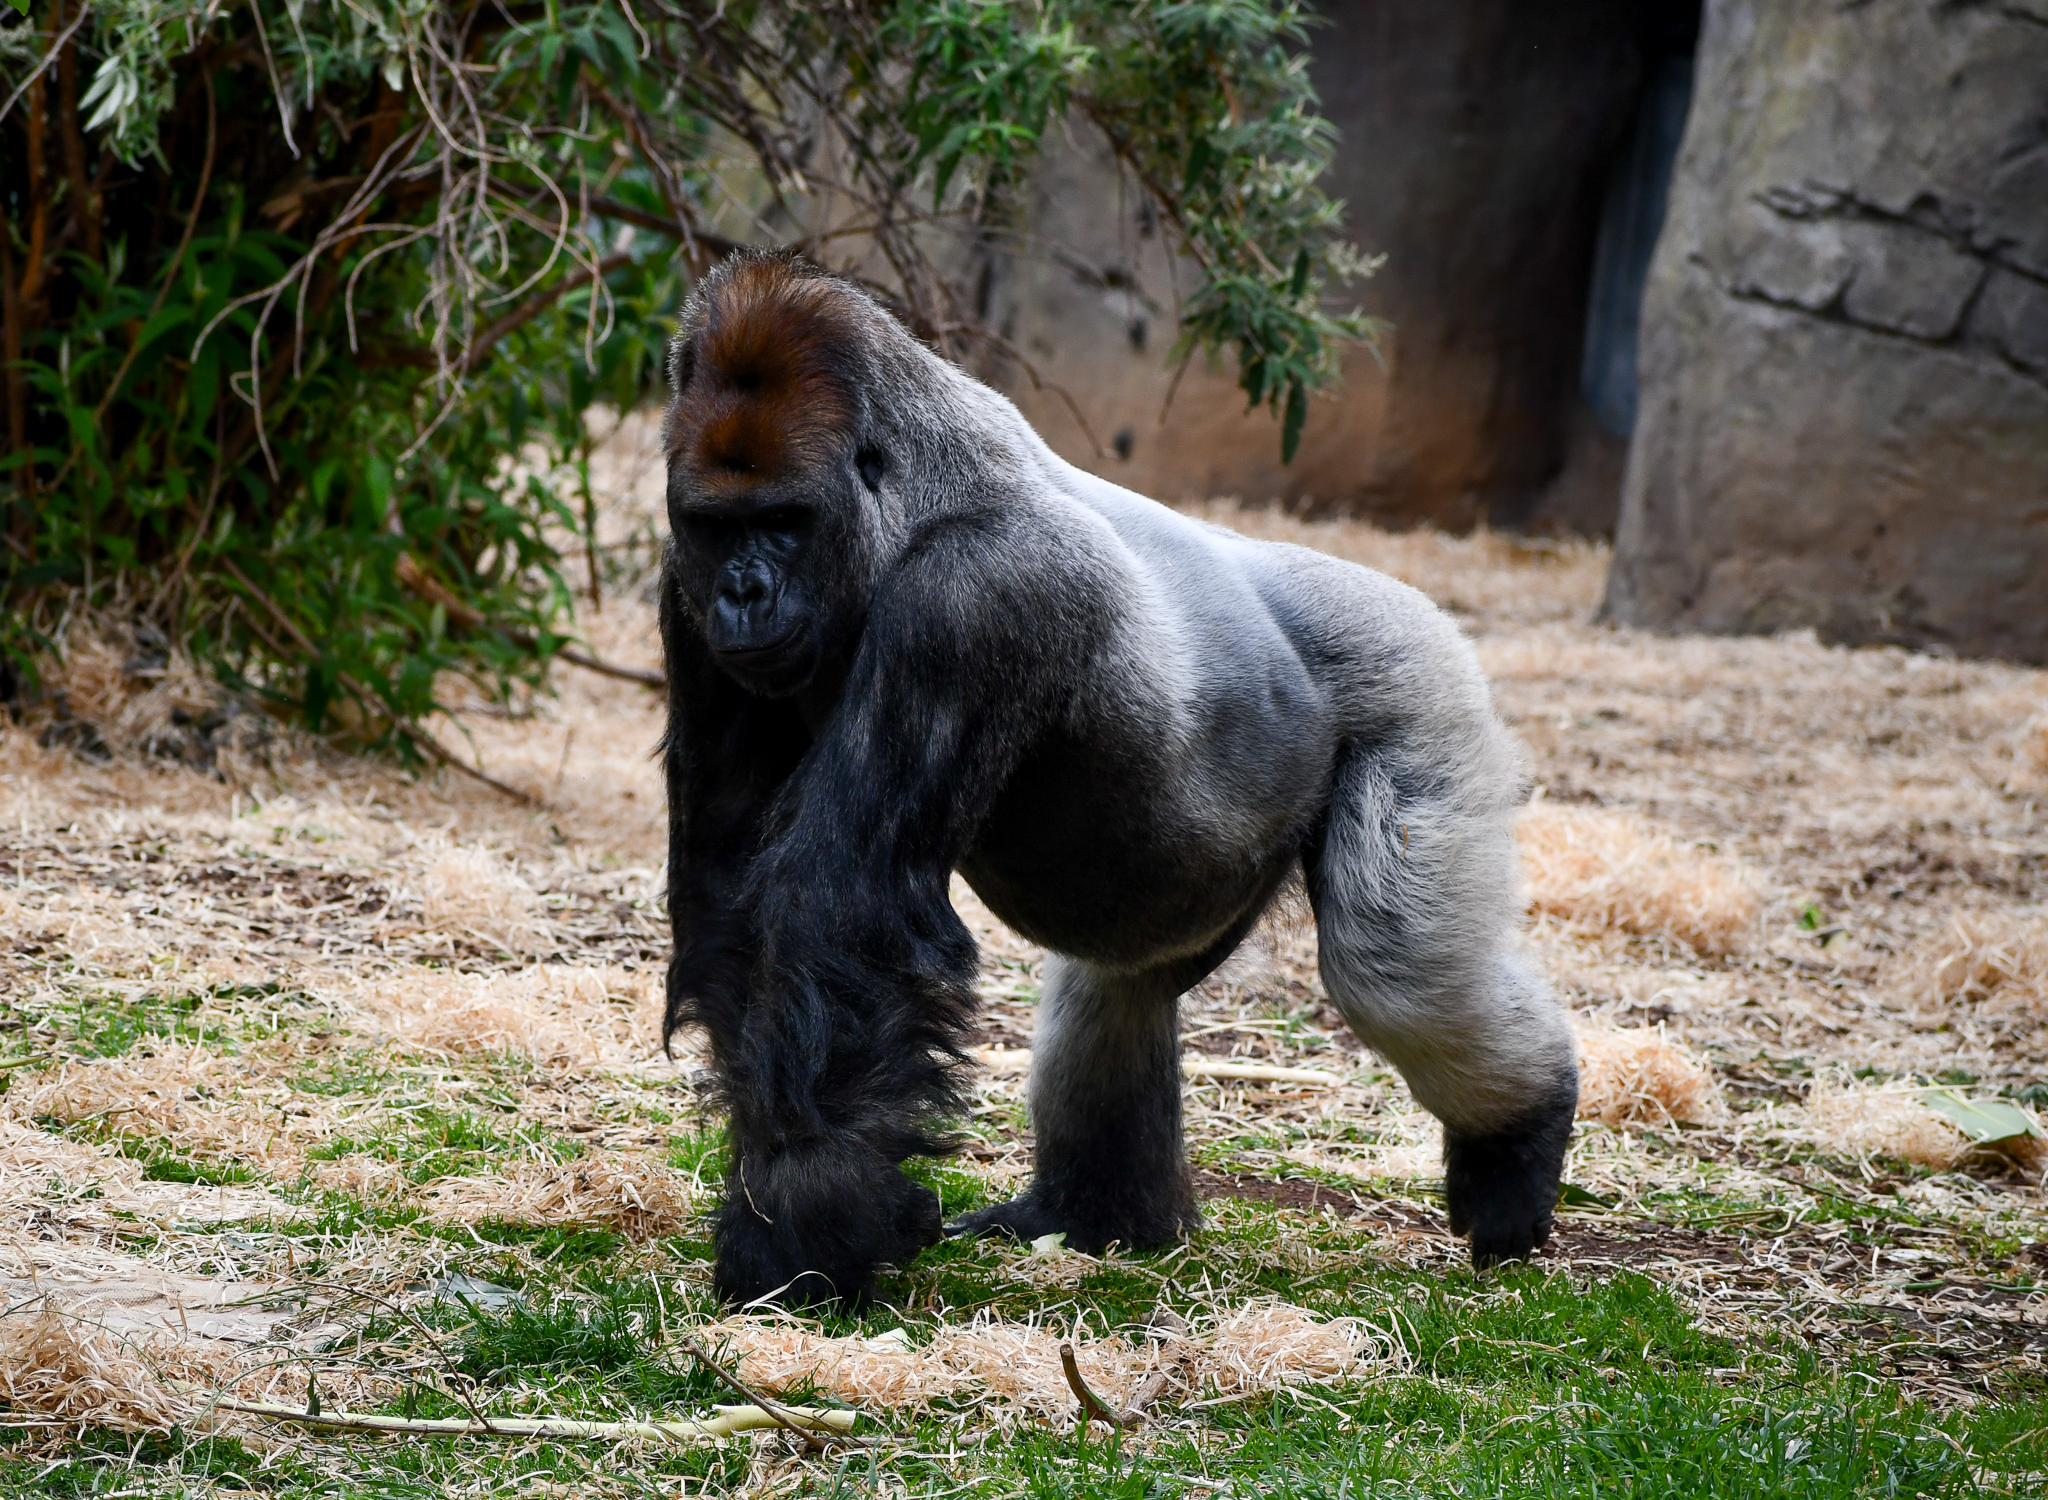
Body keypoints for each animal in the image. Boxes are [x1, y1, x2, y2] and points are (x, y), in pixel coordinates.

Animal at [658, 250, 1578, 1307]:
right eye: (717, 528)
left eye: (785, 521)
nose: (744, 592)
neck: (911, 492)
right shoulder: (683, 590)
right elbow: (730, 884)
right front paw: (796, 1198)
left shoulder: (980, 591)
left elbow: (837, 907)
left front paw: (803, 1225)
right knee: (1120, 989)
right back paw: (1094, 1214)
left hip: (1418, 677)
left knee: (1395, 974)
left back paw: (1519, 1143)